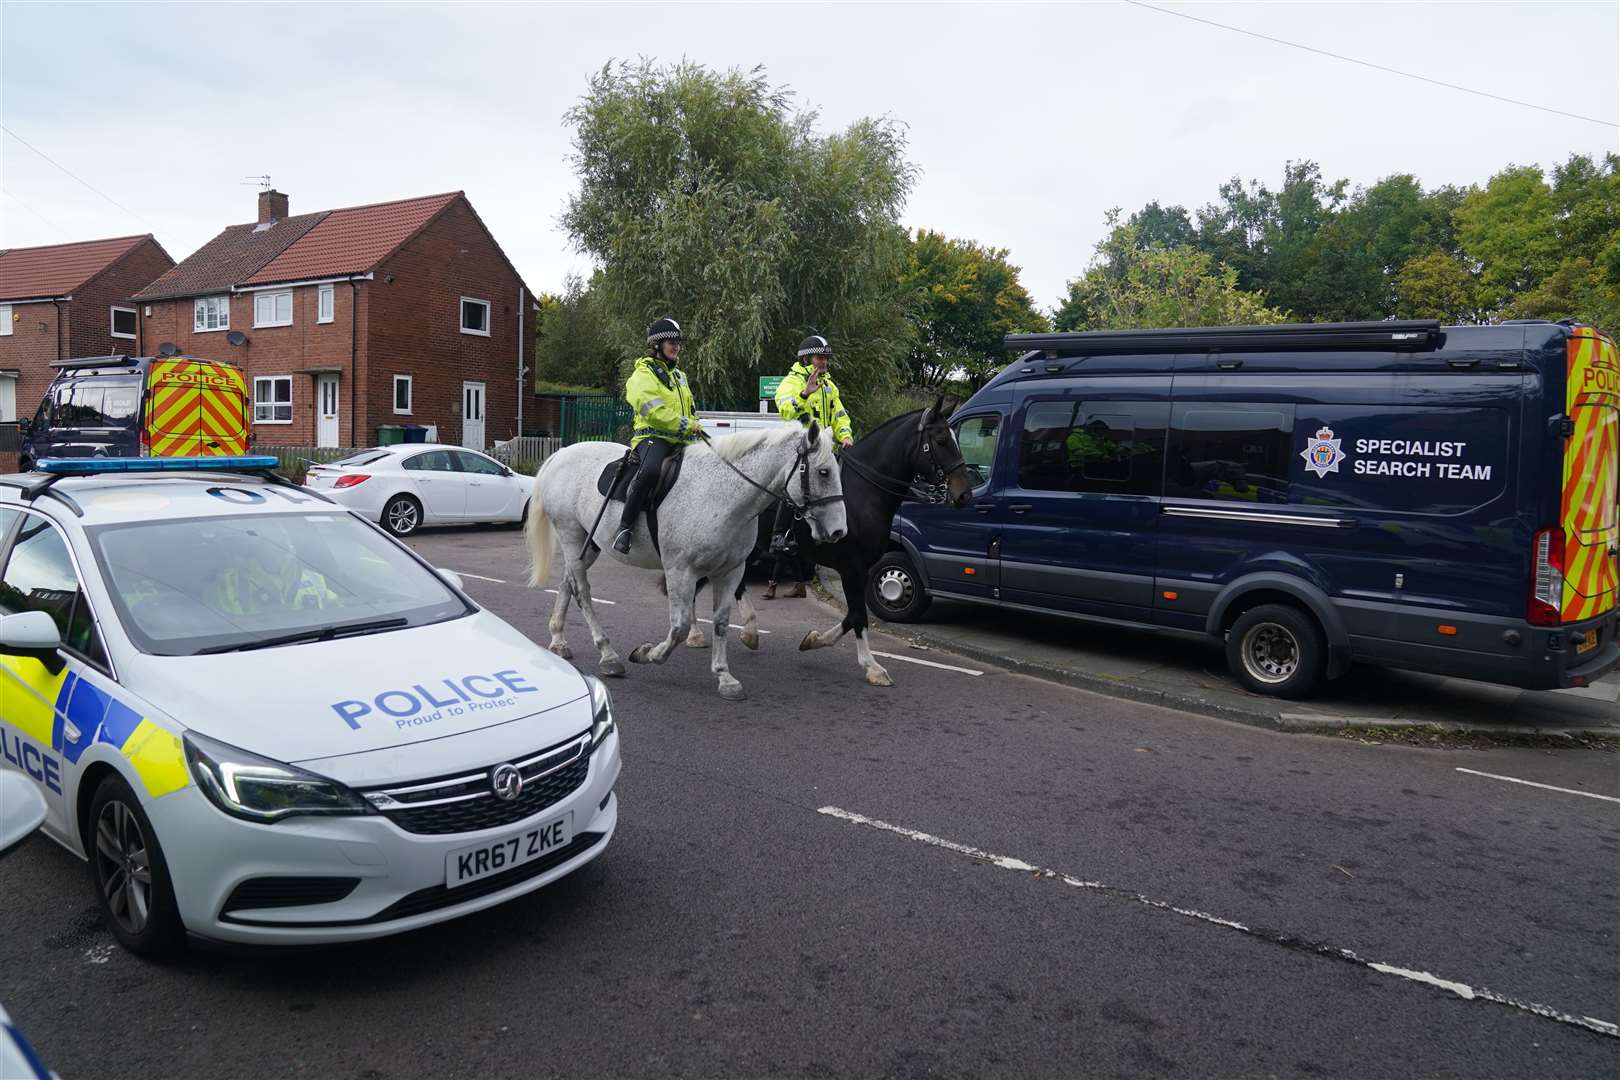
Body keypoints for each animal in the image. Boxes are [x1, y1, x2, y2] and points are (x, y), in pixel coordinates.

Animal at [524, 420, 848, 702]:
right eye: (823, 472)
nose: (839, 532)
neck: (722, 496)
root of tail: (561, 454)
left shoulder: (730, 572)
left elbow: (721, 622)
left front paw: (725, 677)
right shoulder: (681, 571)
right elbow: (678, 627)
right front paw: (648, 653)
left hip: (587, 546)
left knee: (567, 584)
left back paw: (559, 640)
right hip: (571, 535)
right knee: (582, 592)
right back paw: (608, 655)